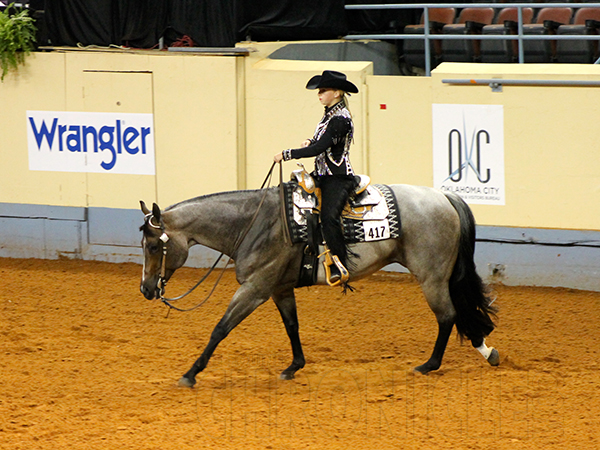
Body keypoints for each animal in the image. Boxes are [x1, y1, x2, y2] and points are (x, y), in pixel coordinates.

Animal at [138, 182, 500, 386]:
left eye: (154, 246)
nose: (146, 289)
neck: (253, 222)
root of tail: (444, 196)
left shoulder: (254, 289)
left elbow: (220, 328)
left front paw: (190, 374)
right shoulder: (279, 288)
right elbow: (292, 326)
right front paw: (293, 367)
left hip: (431, 276)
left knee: (447, 316)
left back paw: (429, 365)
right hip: (443, 275)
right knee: (461, 311)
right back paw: (487, 351)